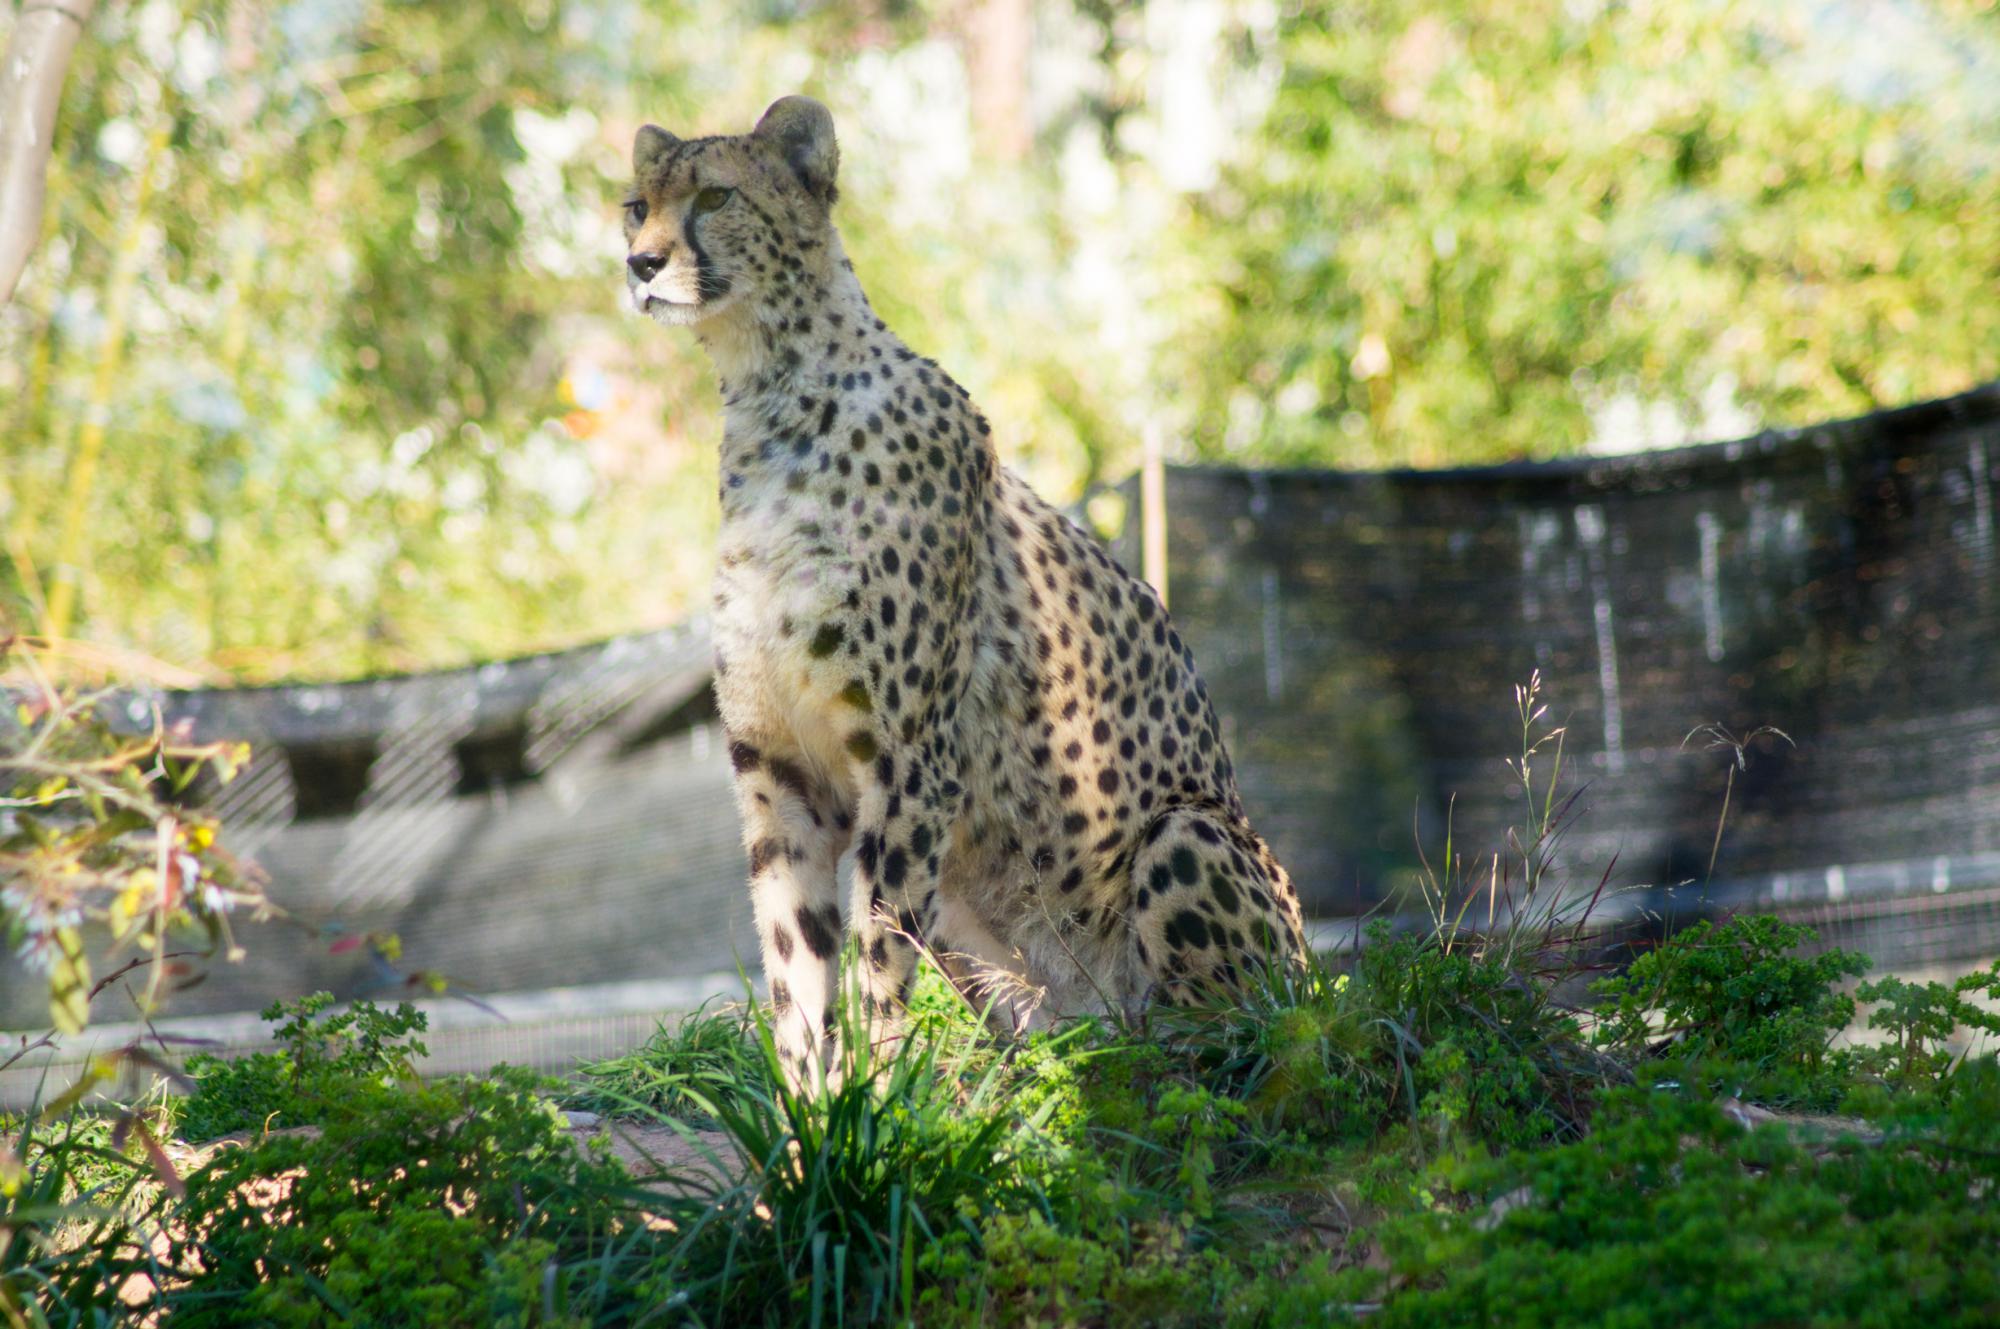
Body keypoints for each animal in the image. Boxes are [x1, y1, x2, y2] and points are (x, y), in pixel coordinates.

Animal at [624, 101, 1312, 1080]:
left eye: (714, 197)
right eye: (635, 205)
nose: (640, 263)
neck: (770, 396)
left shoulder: (908, 757)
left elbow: (875, 948)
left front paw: (874, 1089)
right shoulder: (779, 768)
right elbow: (794, 961)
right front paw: (807, 1106)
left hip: (1190, 836)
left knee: (1241, 1030)